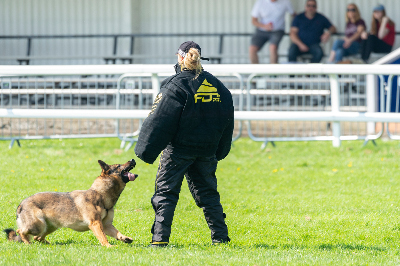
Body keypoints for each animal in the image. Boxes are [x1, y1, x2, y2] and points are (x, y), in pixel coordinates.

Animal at [3, 158, 138, 247]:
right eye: (119, 165)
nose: (132, 159)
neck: (100, 194)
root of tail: (21, 204)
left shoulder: (106, 225)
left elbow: (116, 232)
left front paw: (125, 238)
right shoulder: (95, 223)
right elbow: (103, 237)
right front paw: (108, 246)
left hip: (50, 227)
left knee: (37, 237)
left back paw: (49, 244)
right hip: (38, 225)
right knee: (21, 231)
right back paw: (28, 243)